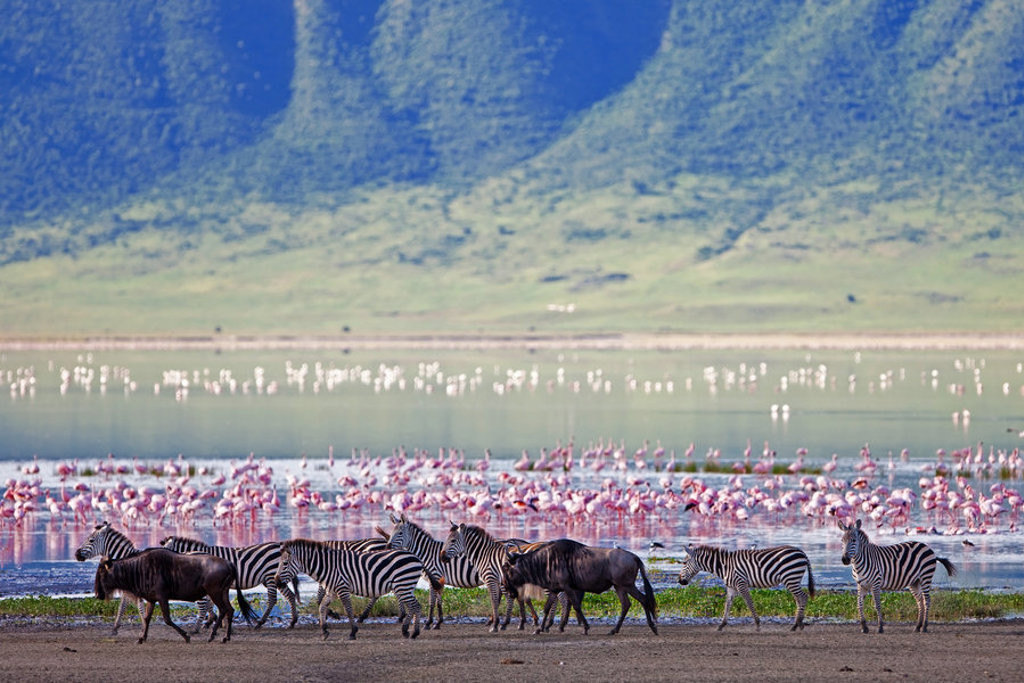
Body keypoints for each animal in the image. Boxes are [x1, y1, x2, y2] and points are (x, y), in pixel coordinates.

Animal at [160, 535, 301, 629]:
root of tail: (280, 546)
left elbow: (210, 603)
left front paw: (212, 621)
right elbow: (212, 603)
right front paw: (215, 621)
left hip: (271, 577)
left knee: (272, 599)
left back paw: (260, 622)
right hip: (276, 578)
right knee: (290, 595)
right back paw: (293, 621)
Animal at [275, 538, 437, 640]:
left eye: (284, 563)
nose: (276, 582)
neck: (328, 566)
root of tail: (417, 558)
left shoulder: (342, 588)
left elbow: (348, 609)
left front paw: (353, 632)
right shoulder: (332, 591)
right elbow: (321, 607)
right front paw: (324, 630)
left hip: (403, 585)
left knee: (415, 606)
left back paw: (414, 632)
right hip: (404, 586)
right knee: (414, 606)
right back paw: (407, 631)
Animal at [677, 543, 815, 631]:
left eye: (684, 563)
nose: (679, 581)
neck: (724, 566)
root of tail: (802, 552)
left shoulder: (741, 583)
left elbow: (749, 602)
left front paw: (758, 625)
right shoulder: (731, 587)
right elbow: (727, 605)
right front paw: (721, 625)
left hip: (790, 578)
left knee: (803, 597)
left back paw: (796, 625)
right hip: (792, 579)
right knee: (799, 599)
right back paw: (798, 624)